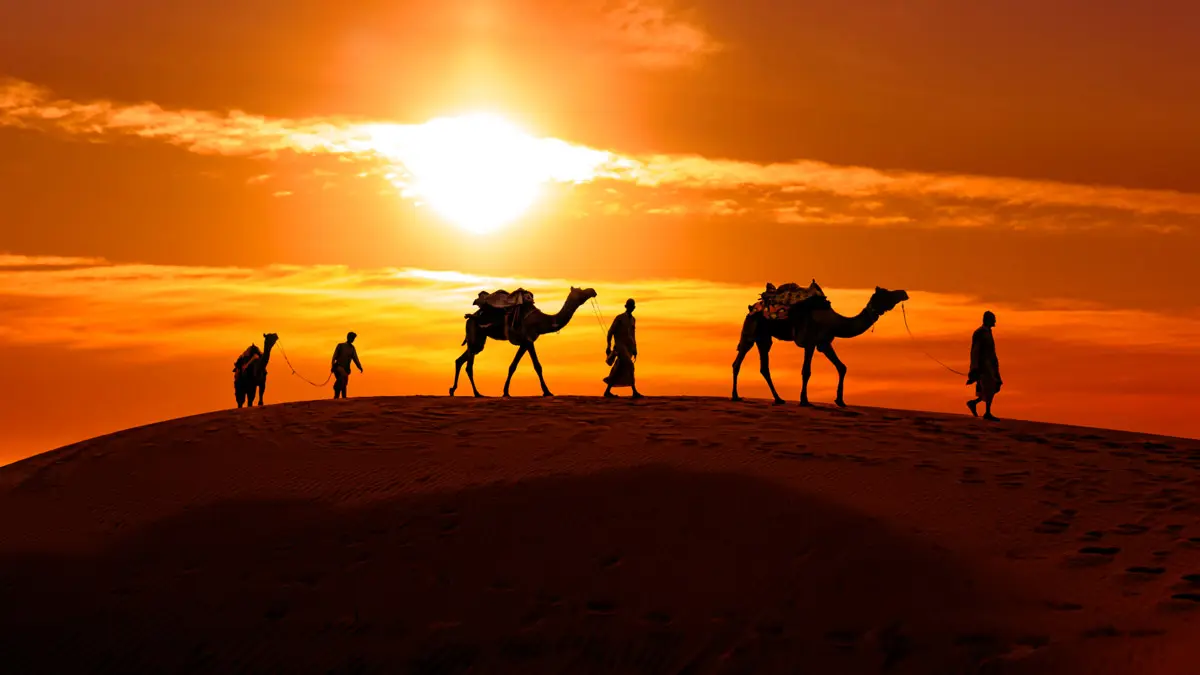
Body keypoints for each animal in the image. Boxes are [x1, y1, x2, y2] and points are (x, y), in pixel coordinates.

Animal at [451, 284, 600, 398]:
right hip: (474, 334)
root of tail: (470, 317)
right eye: (580, 291)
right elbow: (537, 366)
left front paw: (506, 392)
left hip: (479, 340)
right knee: (469, 366)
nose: (592, 290)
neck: (541, 321)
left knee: (460, 360)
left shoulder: (524, 342)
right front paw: (547, 392)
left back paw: (453, 390)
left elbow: (513, 366)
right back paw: (477, 394)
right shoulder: (528, 340)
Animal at [729, 281, 907, 408]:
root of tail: (753, 307)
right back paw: (736, 396)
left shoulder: (824, 343)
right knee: (738, 361)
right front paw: (804, 400)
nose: (904, 293)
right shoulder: (810, 342)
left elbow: (842, 367)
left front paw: (840, 400)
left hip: (763, 337)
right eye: (886, 294)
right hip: (750, 332)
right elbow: (806, 371)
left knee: (763, 367)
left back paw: (778, 399)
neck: (834, 322)